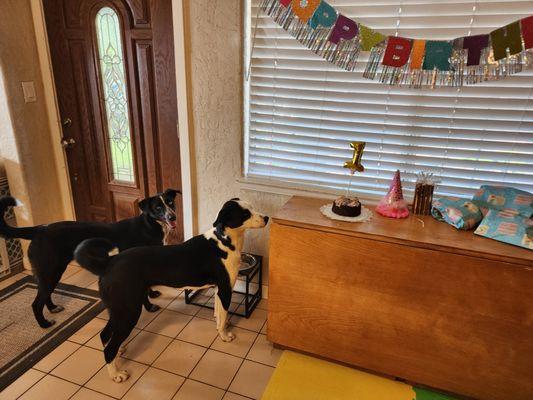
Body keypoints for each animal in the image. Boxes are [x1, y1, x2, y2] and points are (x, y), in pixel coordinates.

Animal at [0, 189, 181, 330]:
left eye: (170, 202)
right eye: (158, 207)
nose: (172, 217)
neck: (149, 224)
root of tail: (39, 229)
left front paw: (153, 293)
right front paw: (149, 307)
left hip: (51, 271)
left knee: (45, 294)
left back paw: (53, 308)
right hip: (49, 270)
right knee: (36, 303)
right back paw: (44, 324)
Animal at [72, 198, 268, 382]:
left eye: (251, 207)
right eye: (245, 214)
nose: (266, 218)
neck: (223, 240)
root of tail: (109, 263)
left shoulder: (218, 289)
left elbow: (219, 313)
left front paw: (222, 324)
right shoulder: (226, 289)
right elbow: (223, 315)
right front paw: (225, 336)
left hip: (118, 309)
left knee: (105, 335)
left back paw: (119, 351)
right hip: (129, 311)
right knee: (109, 347)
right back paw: (116, 375)